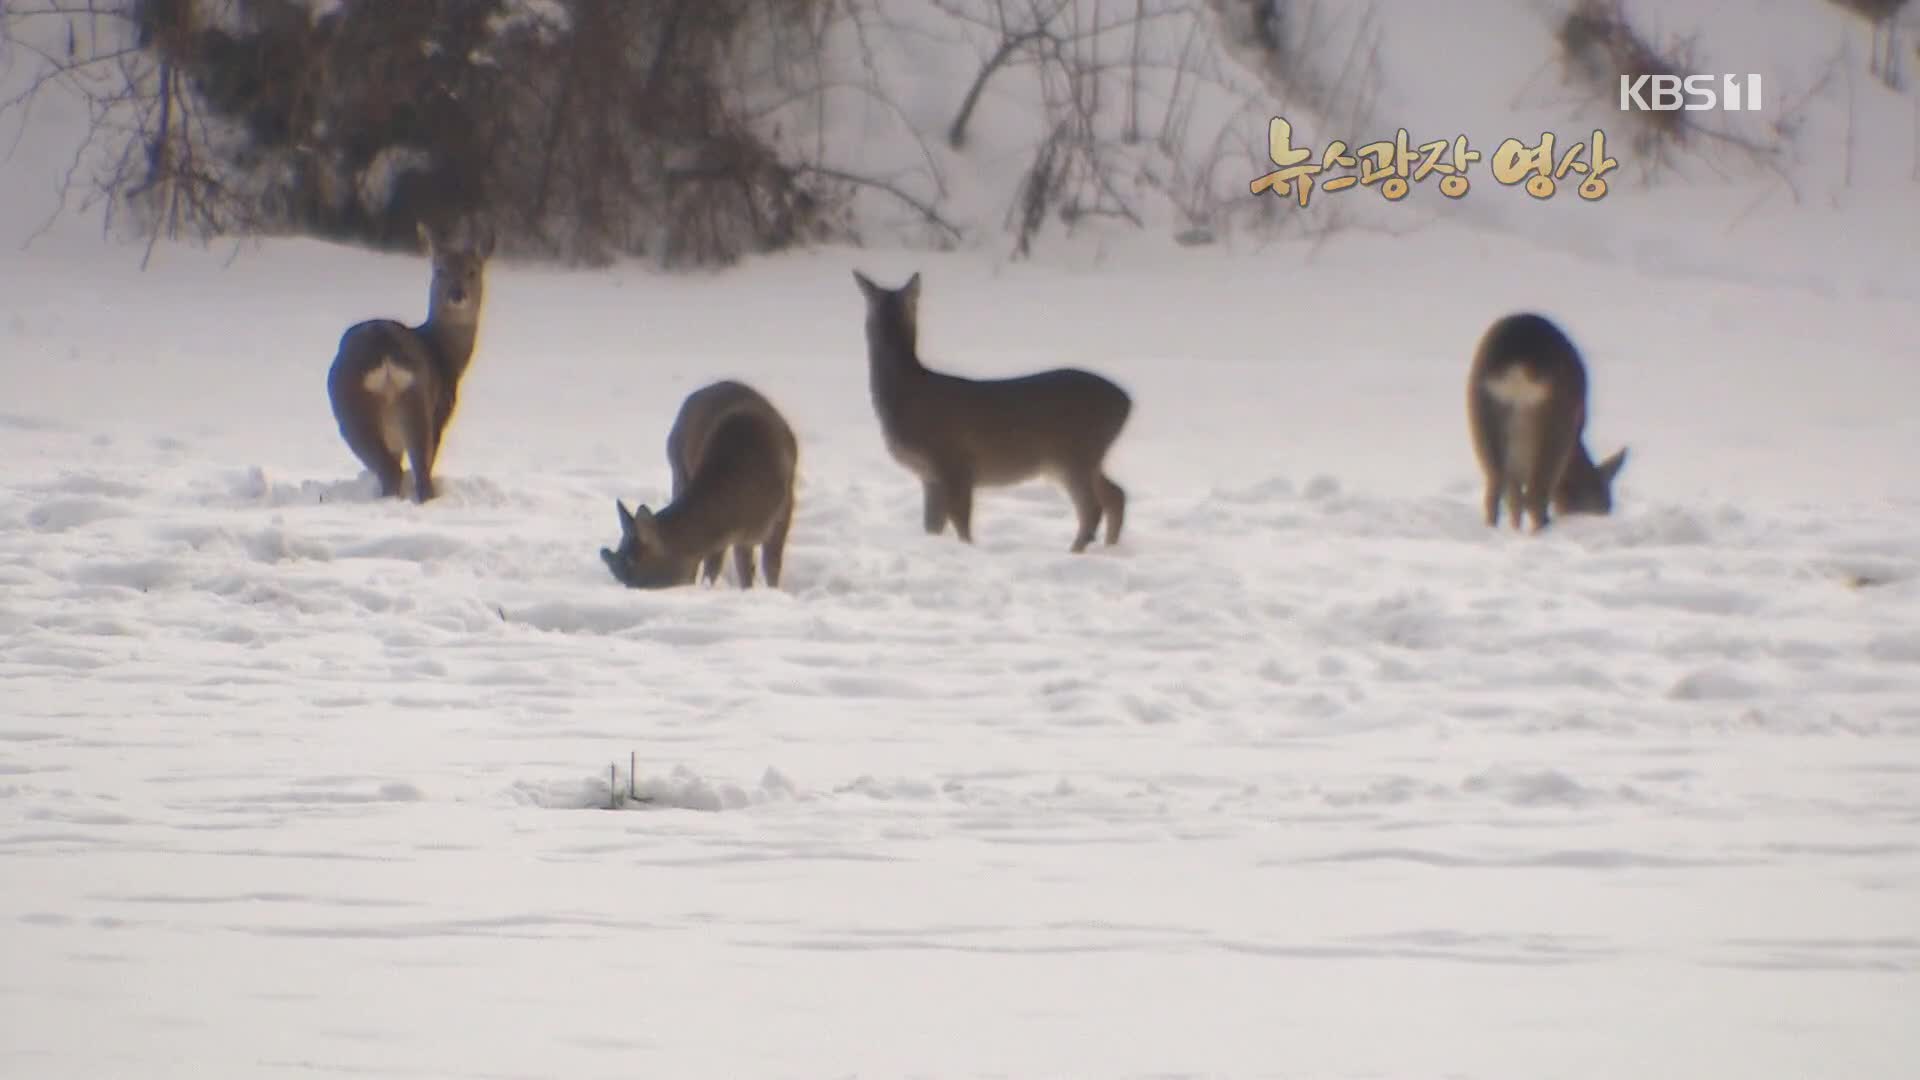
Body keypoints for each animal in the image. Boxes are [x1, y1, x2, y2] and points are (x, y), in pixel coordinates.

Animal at [328, 221, 495, 503]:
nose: (457, 294)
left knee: (396, 470)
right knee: (415, 473)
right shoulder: (442, 410)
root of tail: (384, 353)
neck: (445, 354)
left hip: (375, 407)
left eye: (472, 272)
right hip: (406, 401)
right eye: (440, 270)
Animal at [599, 378, 794, 588]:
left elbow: (770, 565)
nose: (626, 589)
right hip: (678, 470)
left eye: (640, 576)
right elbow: (723, 566)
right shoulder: (731, 536)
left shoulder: (784, 508)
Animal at [852, 269, 1128, 553]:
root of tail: (1127, 401)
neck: (907, 393)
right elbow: (933, 526)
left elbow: (961, 523)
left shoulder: (955, 460)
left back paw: (1075, 552)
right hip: (1083, 457)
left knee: (1093, 507)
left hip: (1075, 453)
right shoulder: (929, 475)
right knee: (1116, 494)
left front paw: (967, 550)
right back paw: (1109, 549)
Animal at [1459, 311, 1628, 530]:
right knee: (1535, 496)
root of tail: (1519, 365)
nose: (1606, 514)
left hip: (1479, 416)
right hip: (1555, 419)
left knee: (1495, 492)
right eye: (1602, 504)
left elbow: (1514, 500)